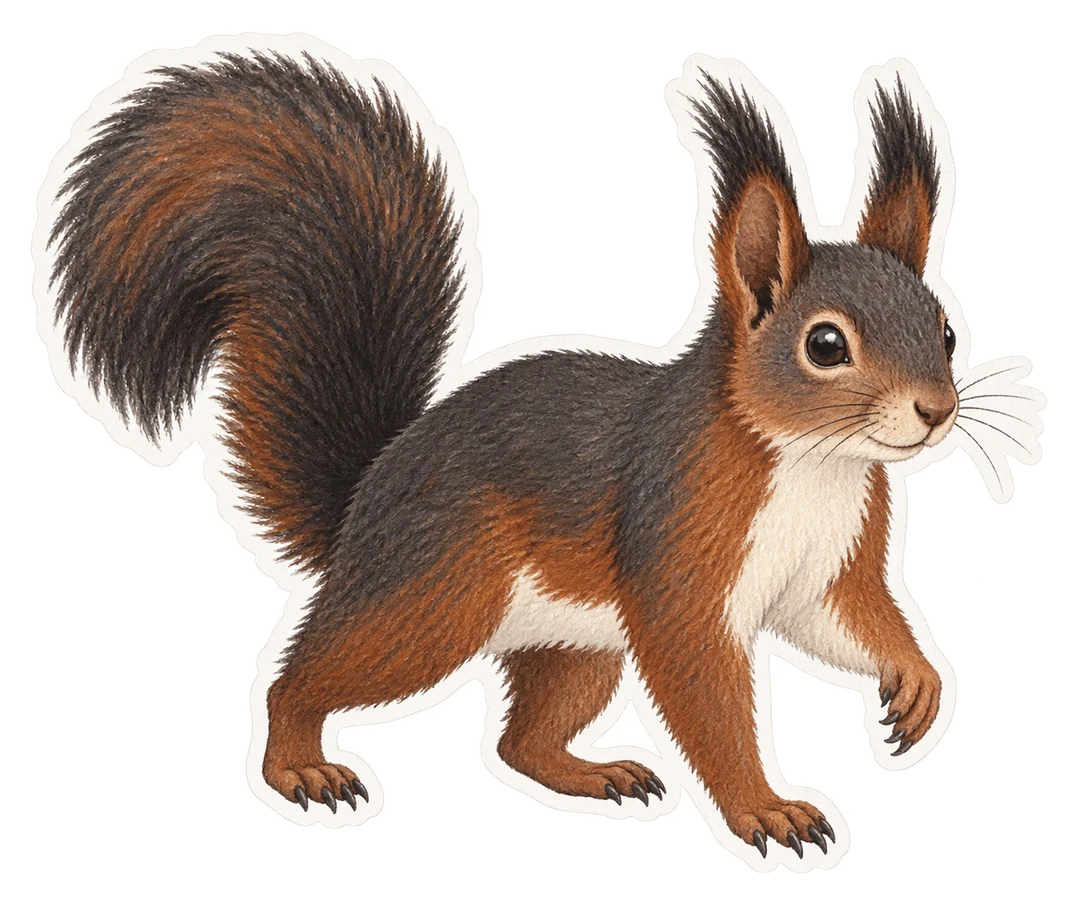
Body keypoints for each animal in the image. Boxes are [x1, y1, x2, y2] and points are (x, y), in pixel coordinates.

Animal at [48, 51, 953, 859]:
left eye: (944, 328)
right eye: (825, 345)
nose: (937, 411)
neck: (814, 462)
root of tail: (364, 501)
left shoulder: (830, 567)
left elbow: (850, 619)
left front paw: (918, 681)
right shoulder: (680, 558)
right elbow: (706, 694)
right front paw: (763, 807)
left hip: (574, 645)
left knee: (520, 742)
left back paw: (595, 775)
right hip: (437, 595)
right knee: (305, 675)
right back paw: (300, 765)